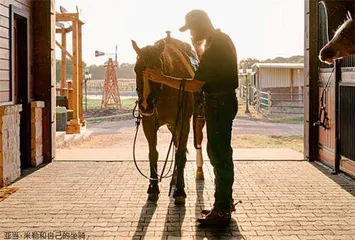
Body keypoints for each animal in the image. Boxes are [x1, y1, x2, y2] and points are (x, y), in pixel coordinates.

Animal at [132, 32, 206, 204]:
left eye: (156, 69)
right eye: (136, 69)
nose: (145, 106)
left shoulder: (183, 123)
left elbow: (180, 154)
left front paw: (179, 191)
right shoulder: (149, 124)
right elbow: (153, 153)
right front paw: (153, 188)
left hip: (197, 121)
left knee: (195, 145)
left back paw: (196, 174)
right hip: (172, 126)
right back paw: (174, 178)